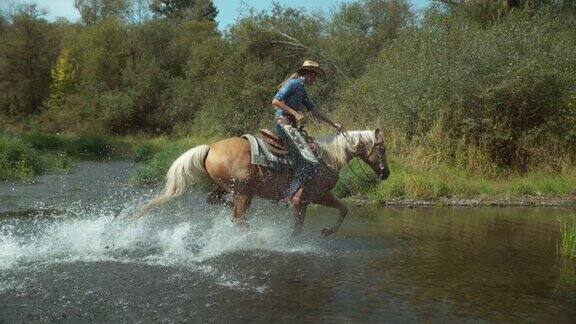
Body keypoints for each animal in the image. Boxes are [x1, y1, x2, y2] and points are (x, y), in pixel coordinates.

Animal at [135, 128, 390, 237]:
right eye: (383, 149)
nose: (386, 173)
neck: (327, 158)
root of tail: (211, 147)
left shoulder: (310, 200)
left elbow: (340, 210)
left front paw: (326, 231)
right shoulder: (314, 196)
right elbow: (338, 211)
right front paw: (325, 232)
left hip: (225, 188)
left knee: (215, 201)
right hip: (245, 192)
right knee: (238, 219)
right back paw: (259, 236)